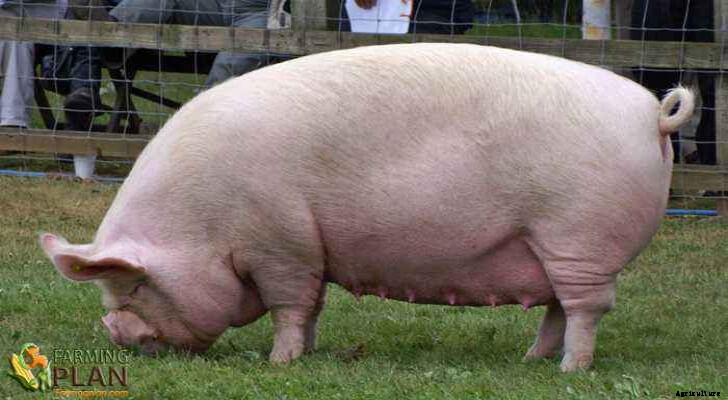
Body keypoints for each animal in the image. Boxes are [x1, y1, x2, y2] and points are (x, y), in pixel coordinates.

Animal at [40, 43, 694, 372]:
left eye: (130, 287)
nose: (112, 332)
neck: (204, 223)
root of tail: (651, 113)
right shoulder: (310, 249)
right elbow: (312, 307)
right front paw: (308, 355)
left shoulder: (280, 243)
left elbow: (288, 305)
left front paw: (279, 364)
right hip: (552, 244)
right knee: (557, 307)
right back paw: (531, 360)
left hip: (579, 236)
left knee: (586, 309)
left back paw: (569, 372)